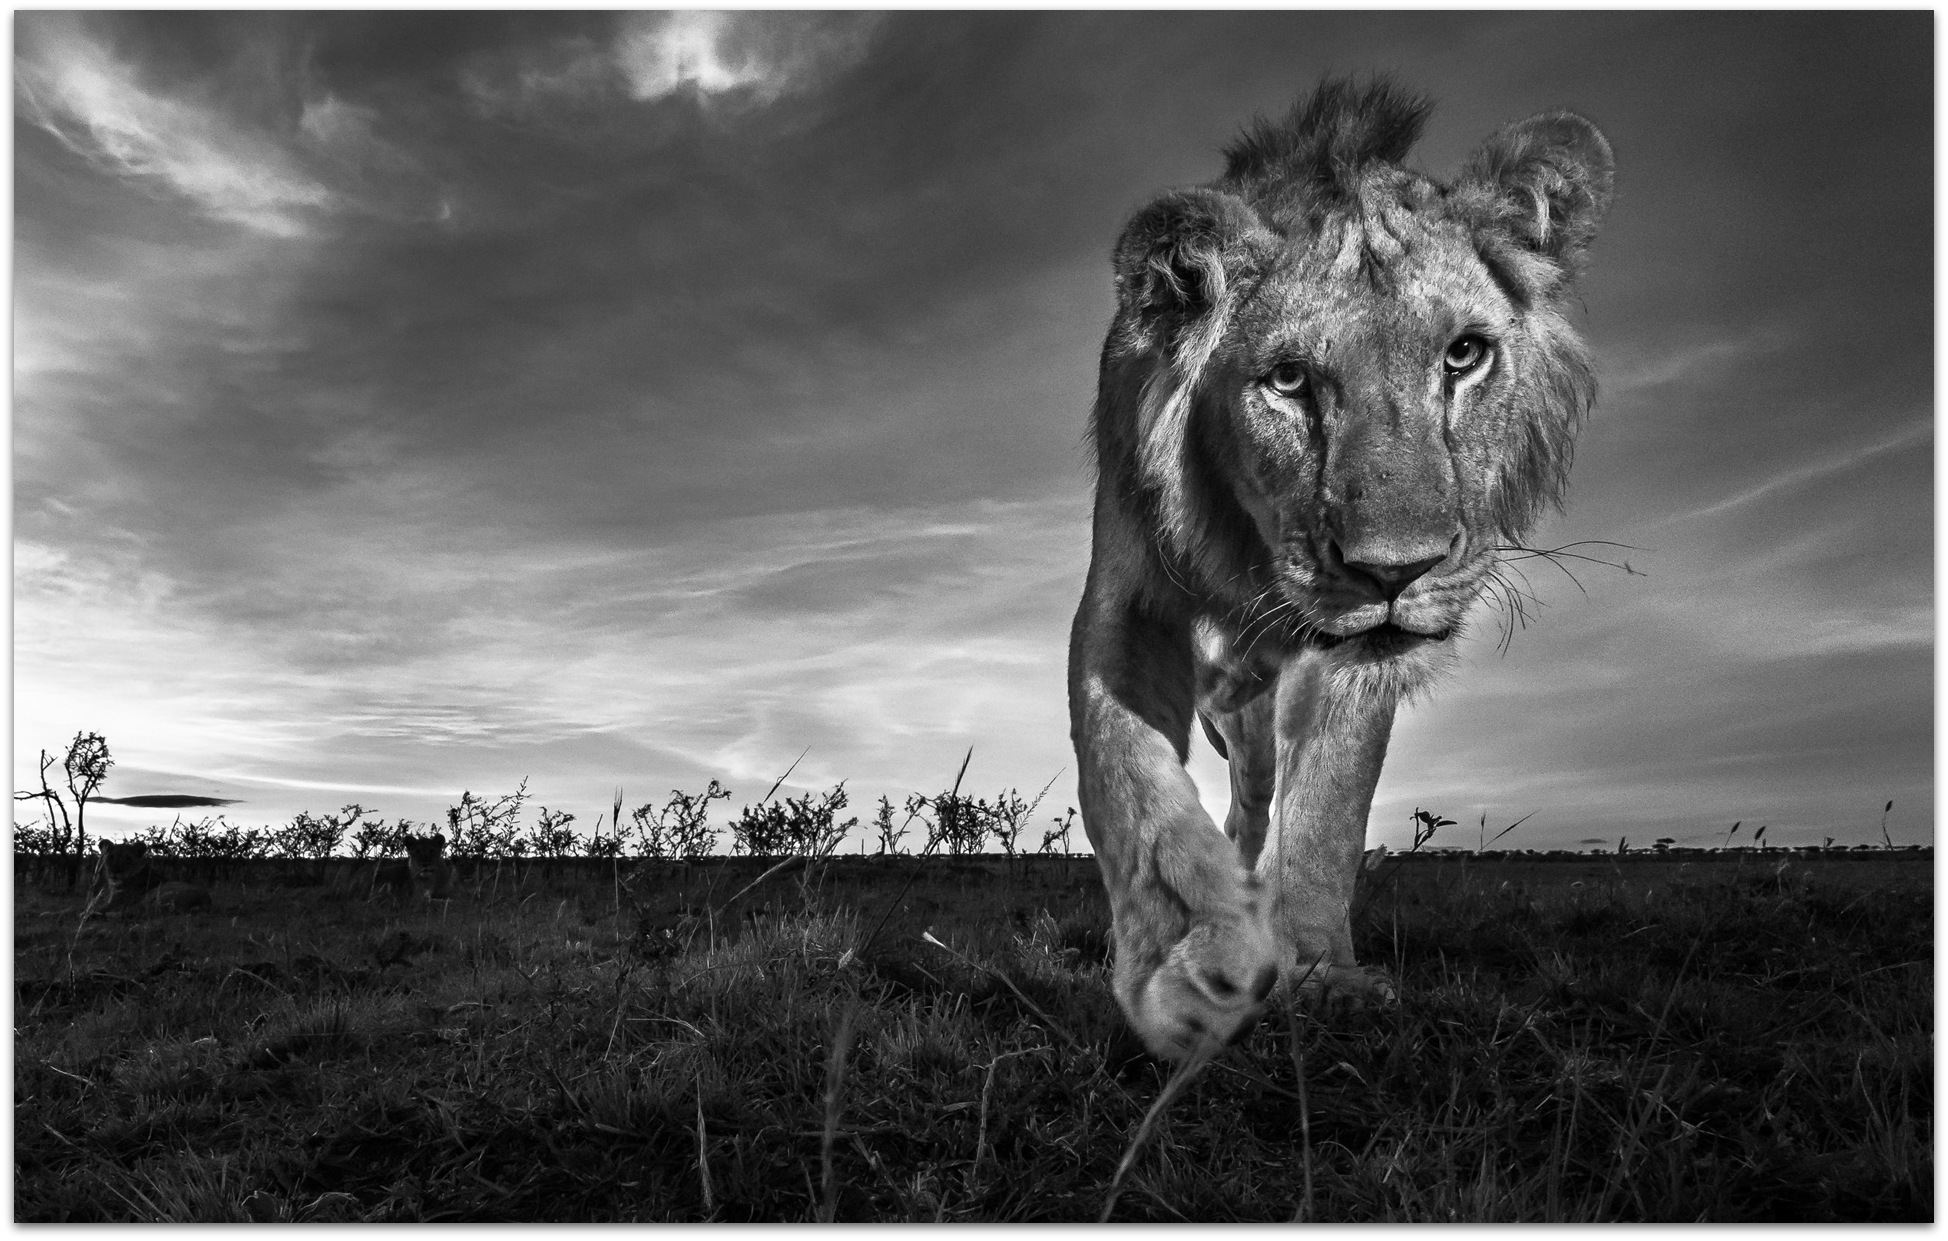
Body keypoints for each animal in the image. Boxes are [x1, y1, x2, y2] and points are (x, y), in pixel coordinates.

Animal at [83, 837, 211, 915]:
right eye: (111, 857)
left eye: (128, 859)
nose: (115, 871)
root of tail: (206, 901)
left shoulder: (117, 902)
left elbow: (97, 908)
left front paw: (86, 913)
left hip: (157, 895)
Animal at [1067, 77, 1612, 1059]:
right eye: (1287, 380)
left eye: (1464, 354)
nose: (1395, 570)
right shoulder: (1125, 604)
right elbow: (1128, 779)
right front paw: (1187, 966)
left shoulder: (1361, 659)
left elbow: (1328, 806)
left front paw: (1322, 973)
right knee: (1244, 802)